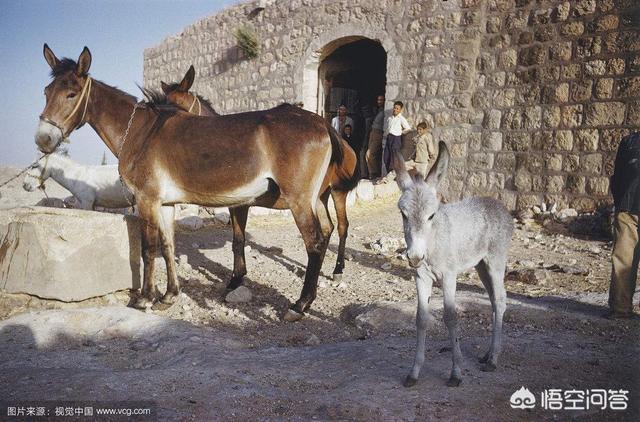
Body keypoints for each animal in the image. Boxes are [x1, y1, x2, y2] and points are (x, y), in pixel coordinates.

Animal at [396, 143, 516, 388]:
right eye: (403, 214)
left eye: (431, 215)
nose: (414, 256)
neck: (432, 243)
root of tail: (496, 203)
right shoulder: (421, 276)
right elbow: (421, 319)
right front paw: (414, 372)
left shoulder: (449, 275)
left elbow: (450, 317)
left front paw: (456, 373)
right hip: (481, 266)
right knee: (492, 300)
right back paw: (487, 354)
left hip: (496, 261)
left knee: (500, 300)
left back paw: (493, 360)